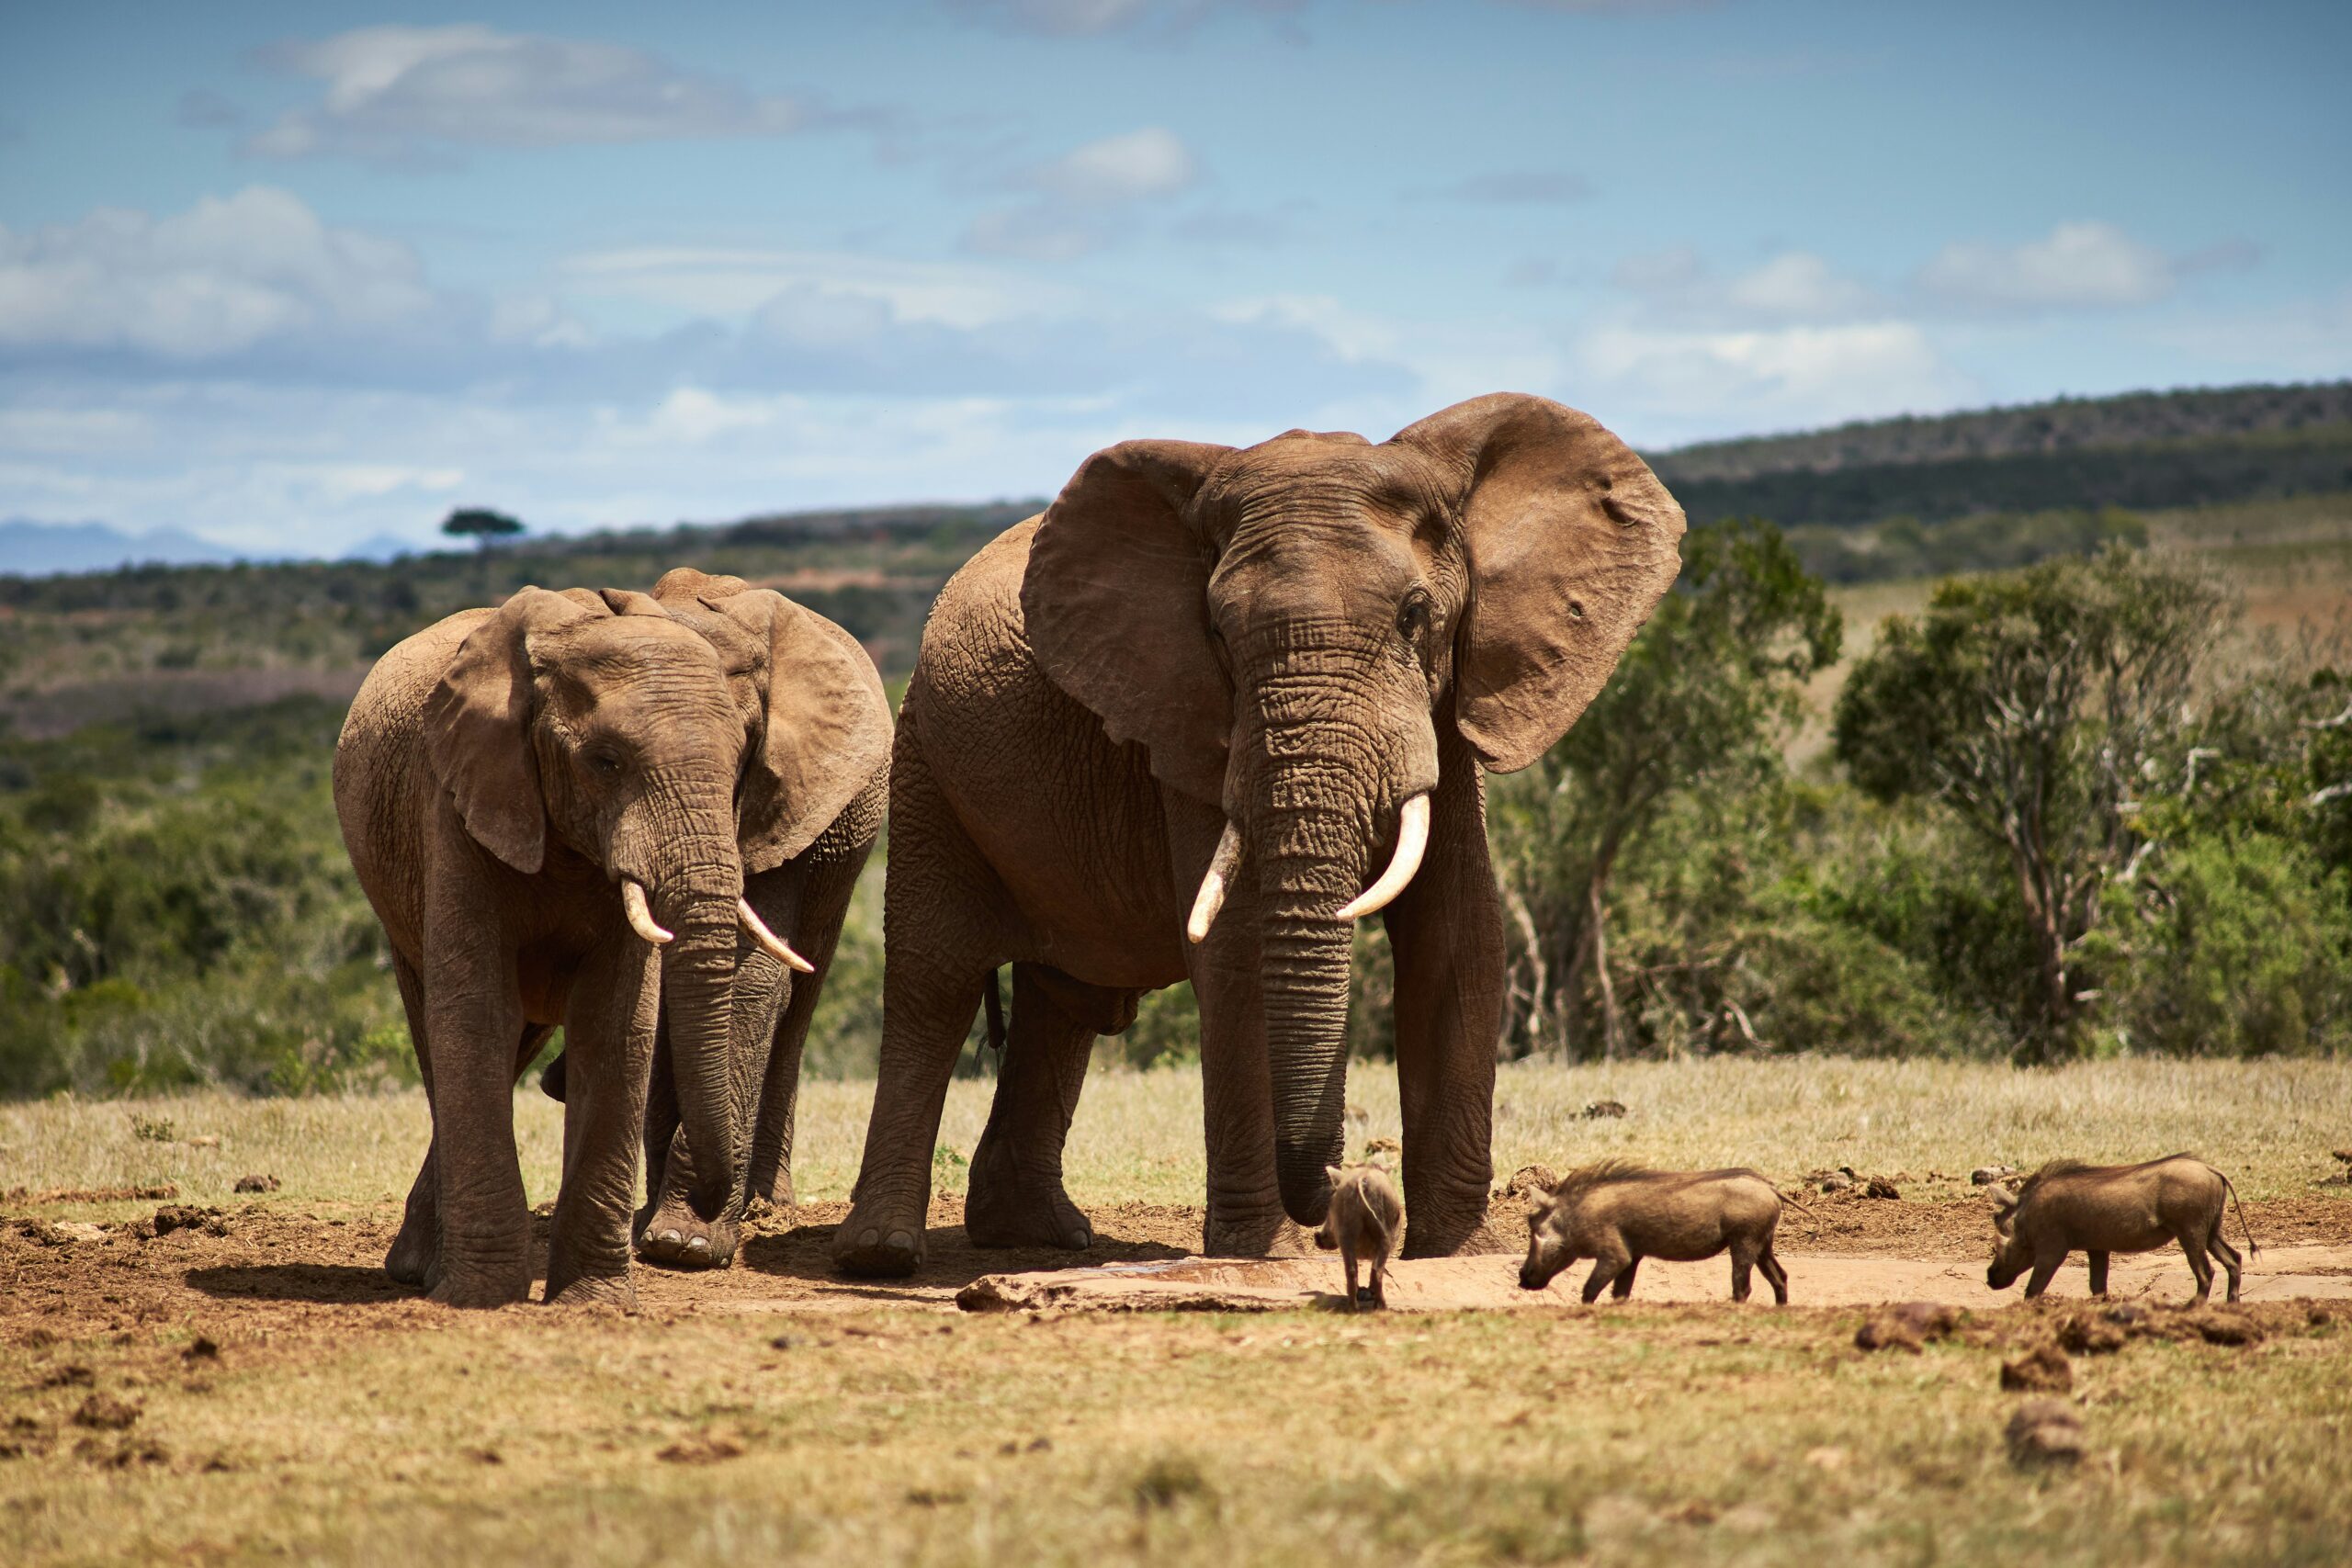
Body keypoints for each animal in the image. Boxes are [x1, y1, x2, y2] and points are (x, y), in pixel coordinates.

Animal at [343, 570, 893, 1306]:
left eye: (743, 761)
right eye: (604, 762)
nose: (556, 1085)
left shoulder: (787, 803)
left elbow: (728, 986)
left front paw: (683, 1244)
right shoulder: (459, 802)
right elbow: (481, 1007)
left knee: (797, 996)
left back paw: (752, 1208)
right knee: (454, 1024)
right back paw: (421, 1265)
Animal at [837, 389, 1683, 1279]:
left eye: (1415, 615)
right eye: (1217, 631)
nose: (1345, 1194)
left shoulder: (1449, 704)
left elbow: (1457, 934)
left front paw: (1453, 1250)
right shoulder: (1189, 722)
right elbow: (1236, 942)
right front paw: (1264, 1253)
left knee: (1066, 999)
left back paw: (1040, 1235)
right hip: (922, 756)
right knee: (935, 982)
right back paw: (881, 1255)